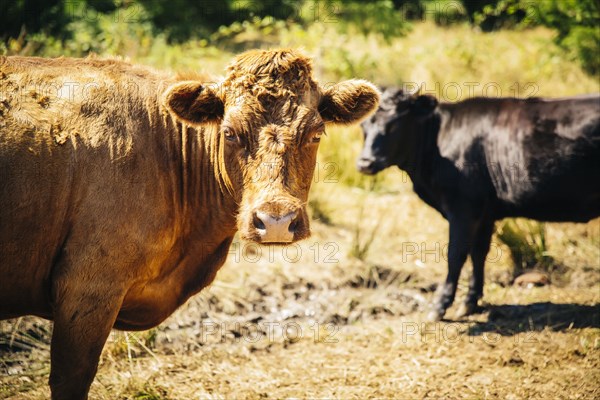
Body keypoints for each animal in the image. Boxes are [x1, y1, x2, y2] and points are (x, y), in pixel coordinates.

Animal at [358, 89, 600, 320]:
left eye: (394, 123)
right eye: (363, 125)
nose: (365, 162)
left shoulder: (464, 208)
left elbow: (455, 255)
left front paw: (440, 305)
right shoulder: (486, 214)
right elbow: (479, 253)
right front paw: (470, 302)